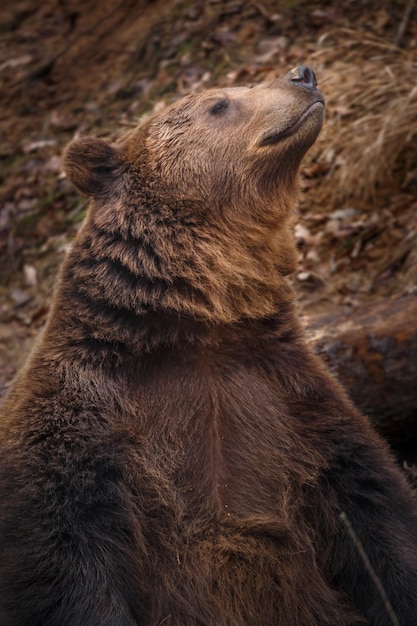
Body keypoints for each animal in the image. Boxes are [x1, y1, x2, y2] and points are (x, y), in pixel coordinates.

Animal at [0, 66, 416, 620]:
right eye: (219, 104)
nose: (302, 74)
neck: (201, 325)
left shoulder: (293, 399)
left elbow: (377, 513)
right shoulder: (75, 430)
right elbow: (68, 566)